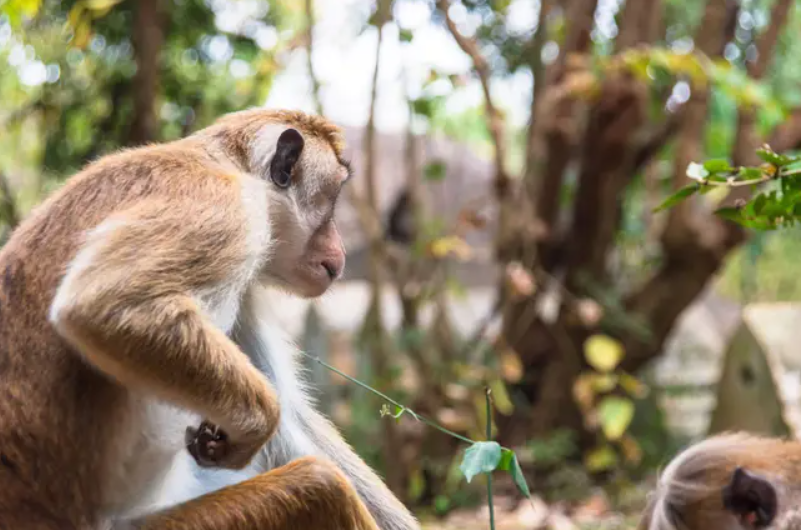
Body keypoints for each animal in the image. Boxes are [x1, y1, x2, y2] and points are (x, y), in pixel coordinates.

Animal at [0, 108, 418, 528]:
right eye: (330, 202)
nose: (339, 257)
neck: (226, 163)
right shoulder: (228, 208)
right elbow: (103, 304)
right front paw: (258, 424)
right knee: (321, 485)